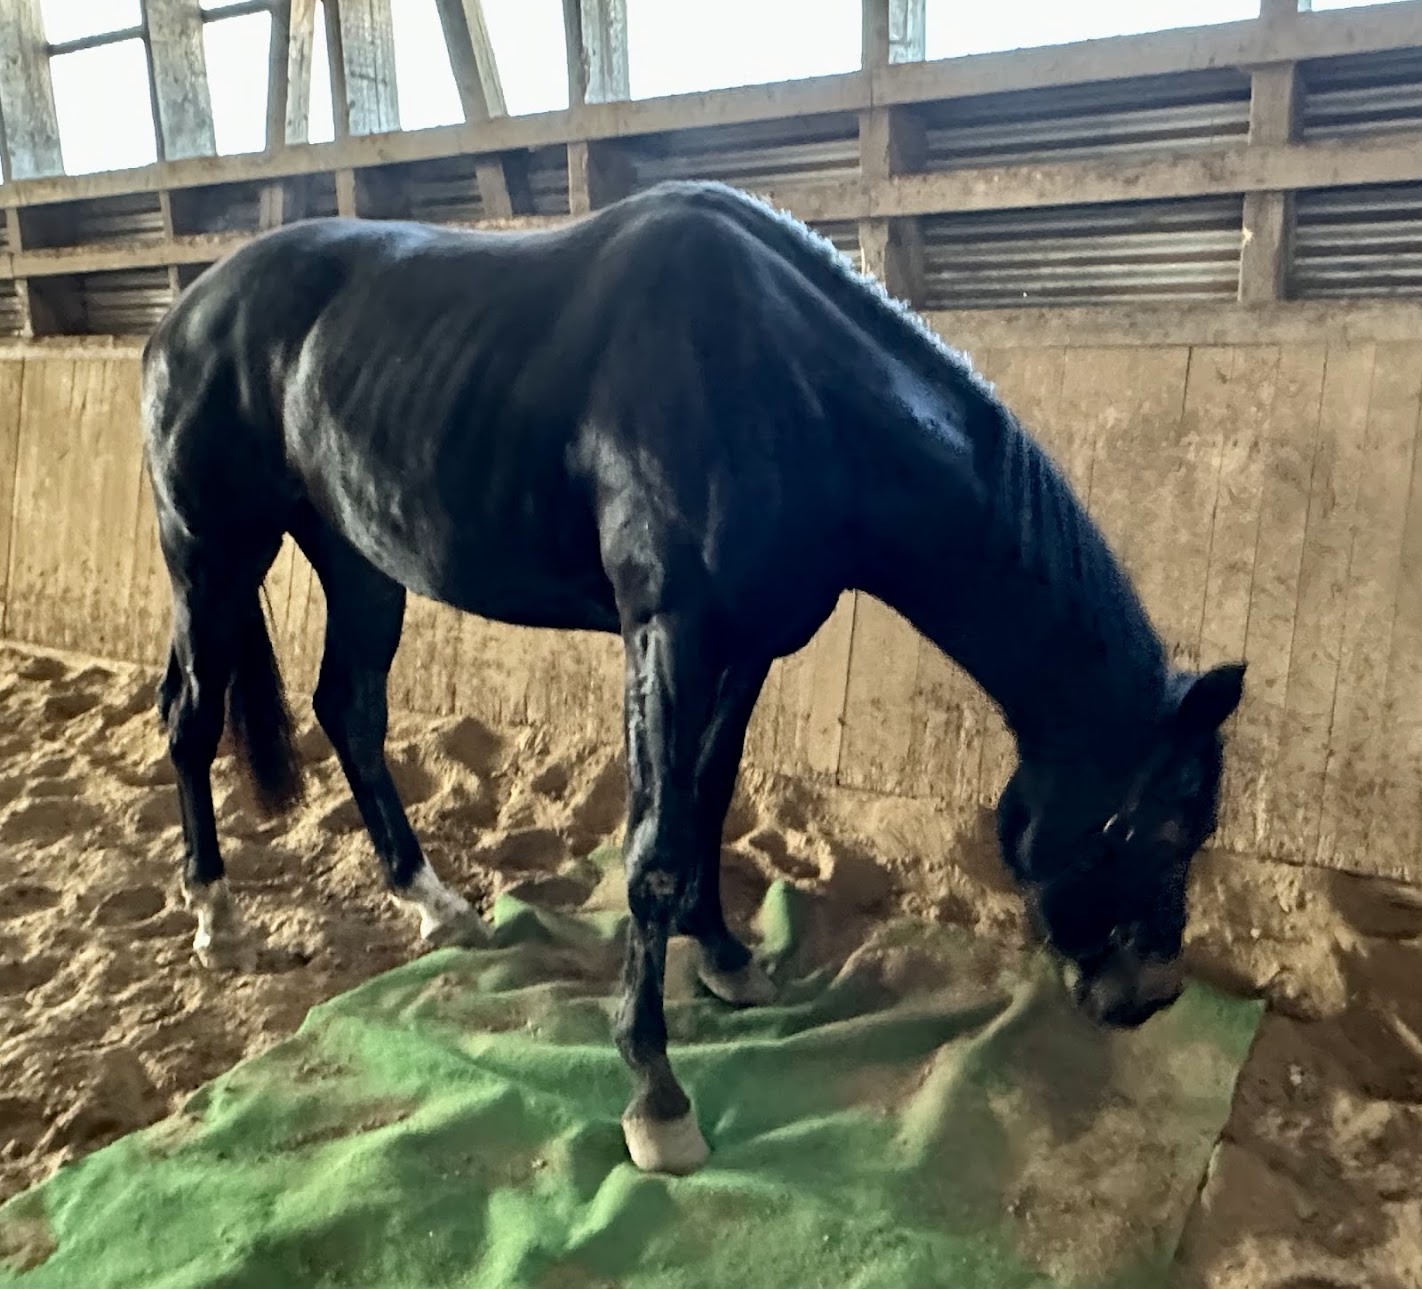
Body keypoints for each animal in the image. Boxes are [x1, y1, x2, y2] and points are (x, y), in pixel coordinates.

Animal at [140, 177, 1245, 1176]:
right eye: (1168, 826)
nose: (1148, 993)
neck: (795, 389)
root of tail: (182, 319)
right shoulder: (669, 634)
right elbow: (656, 851)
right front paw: (657, 1096)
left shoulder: (747, 646)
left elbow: (710, 799)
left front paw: (723, 958)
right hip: (212, 552)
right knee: (190, 718)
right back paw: (217, 920)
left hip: (357, 556)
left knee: (350, 709)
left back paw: (435, 903)